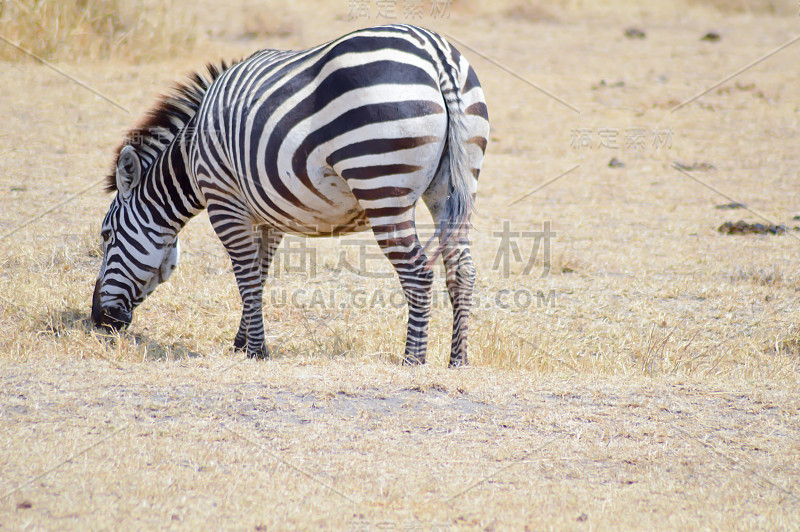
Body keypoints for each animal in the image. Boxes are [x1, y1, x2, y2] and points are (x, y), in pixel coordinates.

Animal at [88, 25, 488, 366]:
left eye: (106, 236)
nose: (98, 320)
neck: (193, 152)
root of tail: (436, 54)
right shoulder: (269, 213)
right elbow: (260, 273)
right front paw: (244, 341)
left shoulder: (224, 203)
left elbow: (246, 276)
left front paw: (256, 351)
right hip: (452, 184)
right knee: (462, 271)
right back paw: (458, 360)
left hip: (381, 185)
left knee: (418, 271)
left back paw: (413, 360)